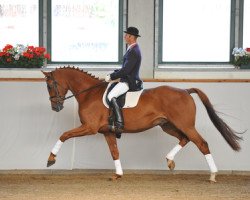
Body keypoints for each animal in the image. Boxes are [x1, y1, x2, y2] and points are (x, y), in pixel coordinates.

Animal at [42, 66, 241, 182]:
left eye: (50, 86)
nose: (55, 107)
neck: (89, 94)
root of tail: (185, 90)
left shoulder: (89, 128)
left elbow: (64, 135)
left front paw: (51, 159)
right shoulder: (107, 131)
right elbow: (114, 152)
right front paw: (118, 174)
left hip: (185, 125)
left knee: (202, 143)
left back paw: (213, 175)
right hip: (167, 125)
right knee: (185, 139)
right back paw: (169, 161)